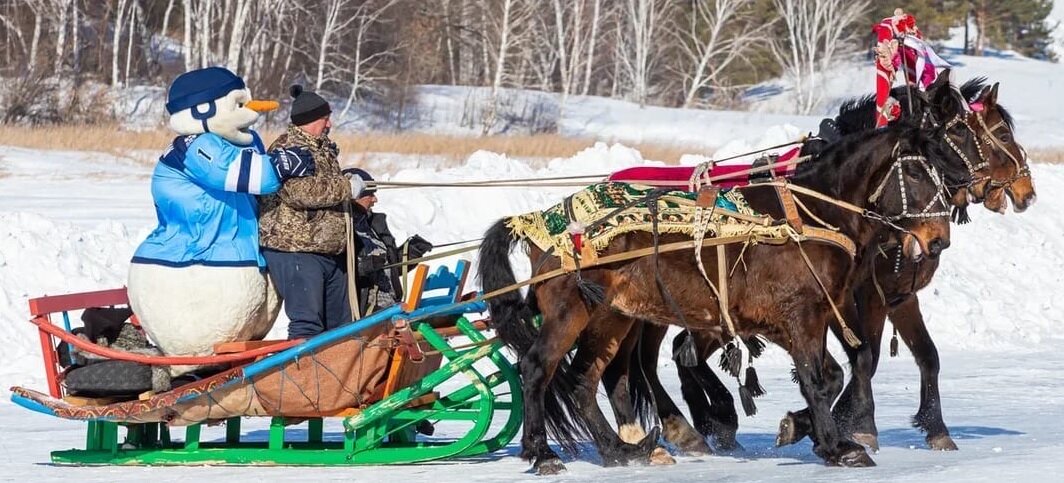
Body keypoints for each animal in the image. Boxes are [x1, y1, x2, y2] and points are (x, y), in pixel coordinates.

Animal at [478, 114, 970, 472]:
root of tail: (539, 222)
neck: (811, 214)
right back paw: (544, 452)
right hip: (573, 311)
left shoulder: (800, 317)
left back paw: (623, 449)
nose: (938, 240)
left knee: (586, 379)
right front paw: (835, 446)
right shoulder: (798, 315)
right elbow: (818, 378)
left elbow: (831, 375)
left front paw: (804, 428)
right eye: (917, 172)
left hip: (612, 316)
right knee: (538, 368)